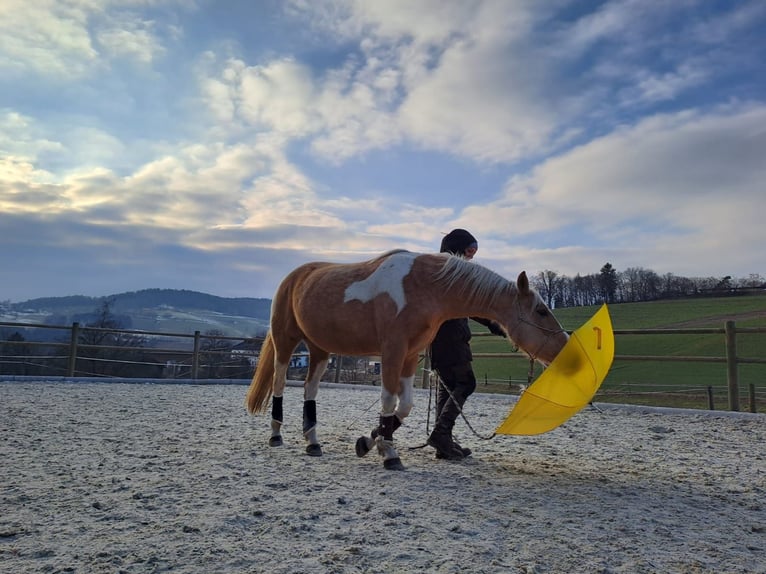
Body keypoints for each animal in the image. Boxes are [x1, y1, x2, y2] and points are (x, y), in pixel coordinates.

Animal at [245, 249, 569, 470]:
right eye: (541, 311)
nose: (566, 346)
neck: (423, 286)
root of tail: (294, 277)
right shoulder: (392, 351)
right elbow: (389, 401)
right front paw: (389, 454)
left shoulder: (411, 356)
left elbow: (406, 406)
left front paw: (370, 441)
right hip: (285, 342)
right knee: (279, 383)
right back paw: (275, 435)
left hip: (320, 349)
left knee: (309, 389)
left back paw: (312, 442)